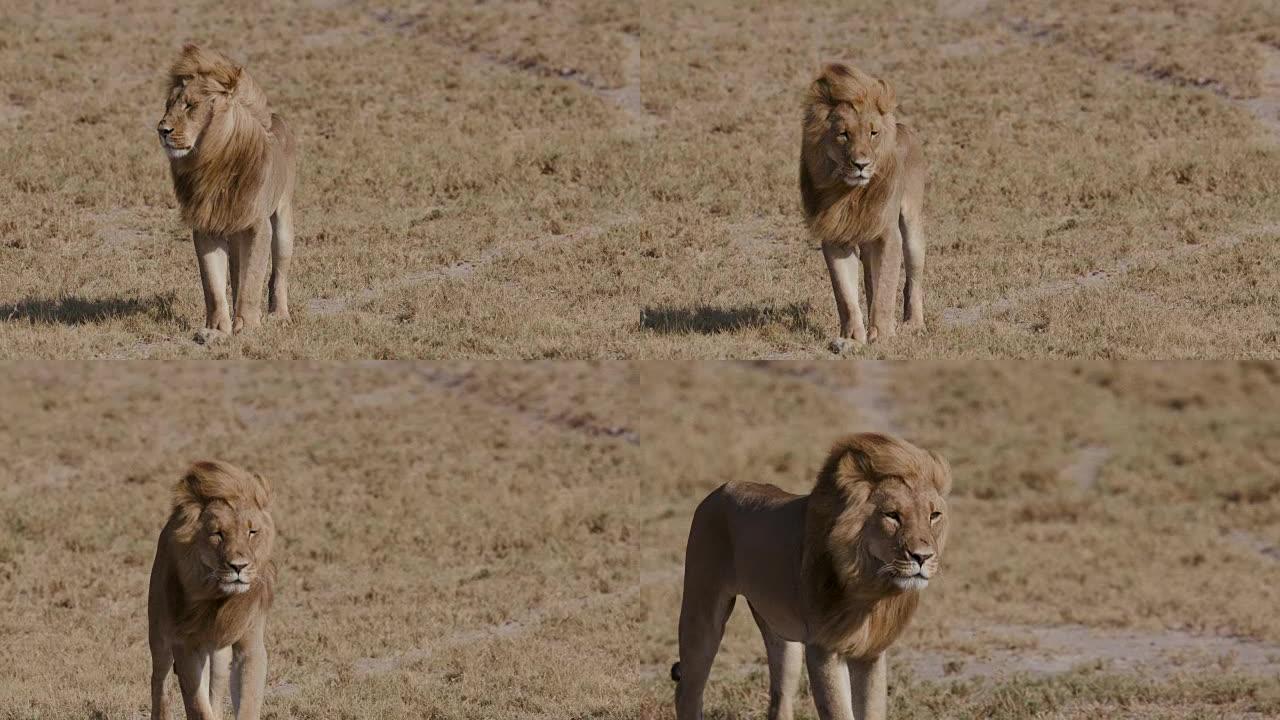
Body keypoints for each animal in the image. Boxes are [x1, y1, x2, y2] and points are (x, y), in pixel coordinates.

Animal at [149, 458, 280, 717]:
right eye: (217, 534)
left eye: (252, 532)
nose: (238, 566)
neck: (218, 599)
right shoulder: (185, 645)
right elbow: (198, 707)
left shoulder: (250, 645)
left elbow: (248, 704)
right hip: (159, 638)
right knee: (159, 684)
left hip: (219, 657)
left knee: (216, 692)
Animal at [157, 44, 299, 340]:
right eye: (168, 105)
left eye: (190, 105)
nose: (162, 130)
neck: (212, 161)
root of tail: (278, 118)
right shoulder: (206, 227)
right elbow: (213, 284)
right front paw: (216, 329)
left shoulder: (258, 226)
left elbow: (253, 279)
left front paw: (248, 327)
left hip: (283, 219)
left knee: (278, 273)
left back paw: (279, 315)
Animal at [670, 430, 952, 717]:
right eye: (892, 515)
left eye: (934, 515)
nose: (922, 557)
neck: (869, 587)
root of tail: (717, 491)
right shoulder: (823, 648)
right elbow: (839, 712)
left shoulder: (871, 652)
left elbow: (872, 711)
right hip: (702, 611)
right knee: (687, 692)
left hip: (783, 637)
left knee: (779, 698)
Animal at [798, 64, 931, 351]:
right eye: (843, 134)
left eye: (873, 133)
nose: (861, 164)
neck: (850, 195)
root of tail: (903, 127)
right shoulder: (836, 239)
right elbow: (846, 296)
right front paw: (851, 339)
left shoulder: (888, 236)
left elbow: (885, 292)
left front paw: (881, 337)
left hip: (912, 227)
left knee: (912, 280)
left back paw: (913, 324)